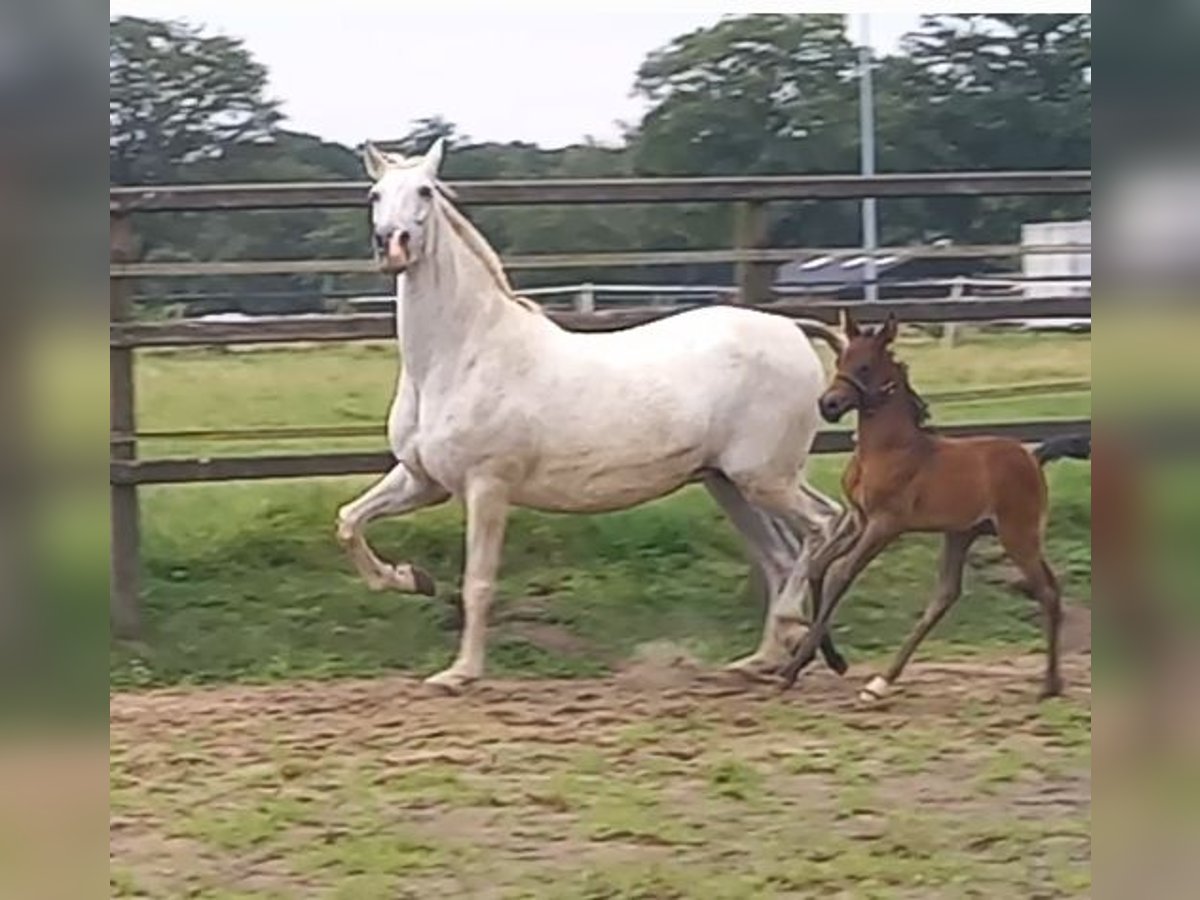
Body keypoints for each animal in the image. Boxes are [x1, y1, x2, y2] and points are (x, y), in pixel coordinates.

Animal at [333, 139, 849, 691]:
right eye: (374, 195)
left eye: (425, 191)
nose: (392, 245)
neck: (460, 354)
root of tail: (790, 328)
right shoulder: (423, 480)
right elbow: (349, 522)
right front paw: (411, 578)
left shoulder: (487, 486)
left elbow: (478, 582)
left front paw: (460, 673)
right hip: (729, 482)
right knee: (781, 557)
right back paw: (761, 659)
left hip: (766, 476)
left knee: (823, 523)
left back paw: (790, 630)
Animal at [777, 314, 1089, 700]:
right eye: (840, 361)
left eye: (865, 366)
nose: (829, 405)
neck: (889, 449)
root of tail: (1033, 457)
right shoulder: (859, 519)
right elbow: (819, 567)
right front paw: (828, 659)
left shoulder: (885, 524)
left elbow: (841, 575)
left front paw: (793, 668)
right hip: (962, 533)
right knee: (946, 596)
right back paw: (881, 682)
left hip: (1018, 534)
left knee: (1046, 591)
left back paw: (1049, 684)